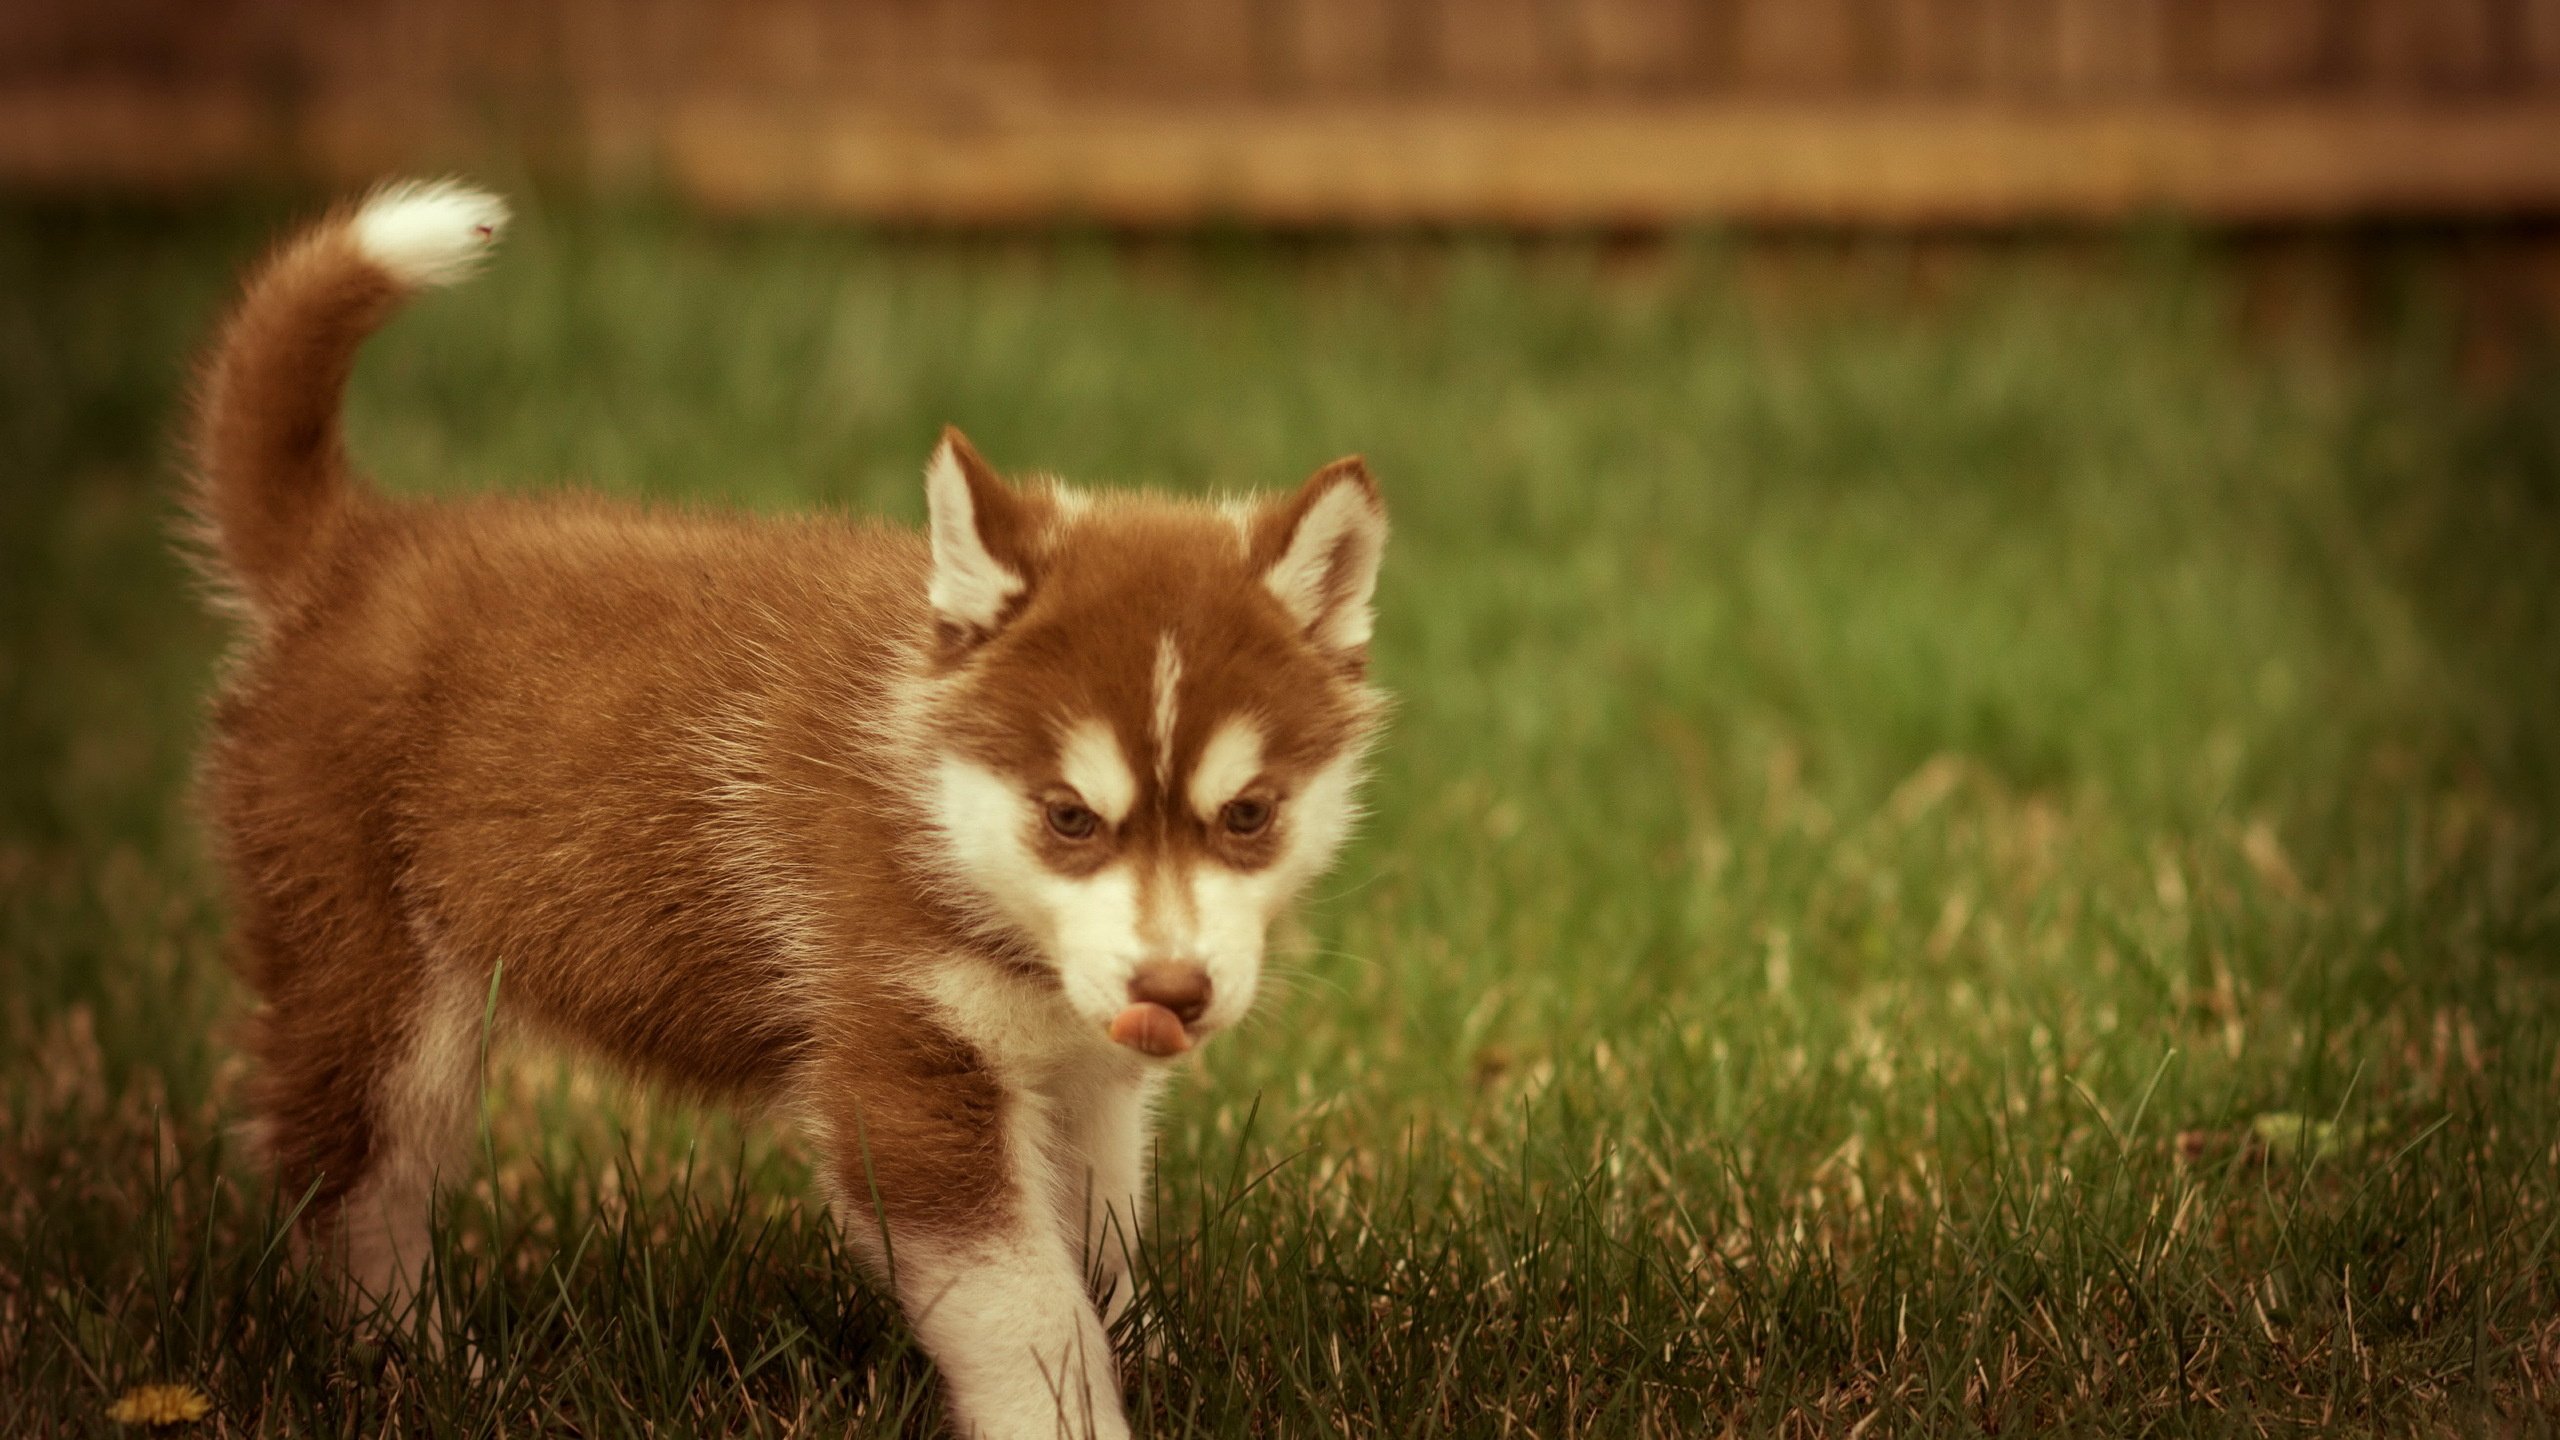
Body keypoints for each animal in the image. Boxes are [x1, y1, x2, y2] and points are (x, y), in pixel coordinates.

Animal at [183, 181, 1392, 1434]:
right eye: (1068, 817)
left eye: (1248, 815)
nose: (1174, 992)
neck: (933, 806)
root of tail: (353, 551)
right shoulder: (903, 1068)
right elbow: (1025, 1303)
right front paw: (1071, 1416)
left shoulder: (1081, 1078)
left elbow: (1097, 1245)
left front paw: (1150, 1357)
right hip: (378, 978)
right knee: (353, 1182)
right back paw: (421, 1371)